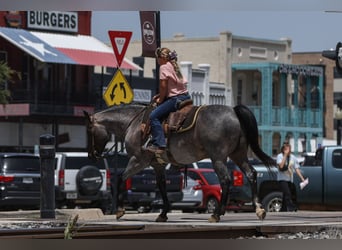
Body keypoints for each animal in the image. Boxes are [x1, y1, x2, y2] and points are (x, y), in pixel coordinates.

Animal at [84, 103, 276, 223]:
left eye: (89, 131)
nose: (92, 155)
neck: (134, 124)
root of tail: (233, 112)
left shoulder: (139, 160)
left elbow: (121, 179)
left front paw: (119, 210)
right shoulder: (158, 165)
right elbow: (161, 186)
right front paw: (163, 213)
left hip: (218, 158)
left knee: (226, 180)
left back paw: (216, 214)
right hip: (238, 154)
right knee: (251, 173)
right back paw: (258, 209)